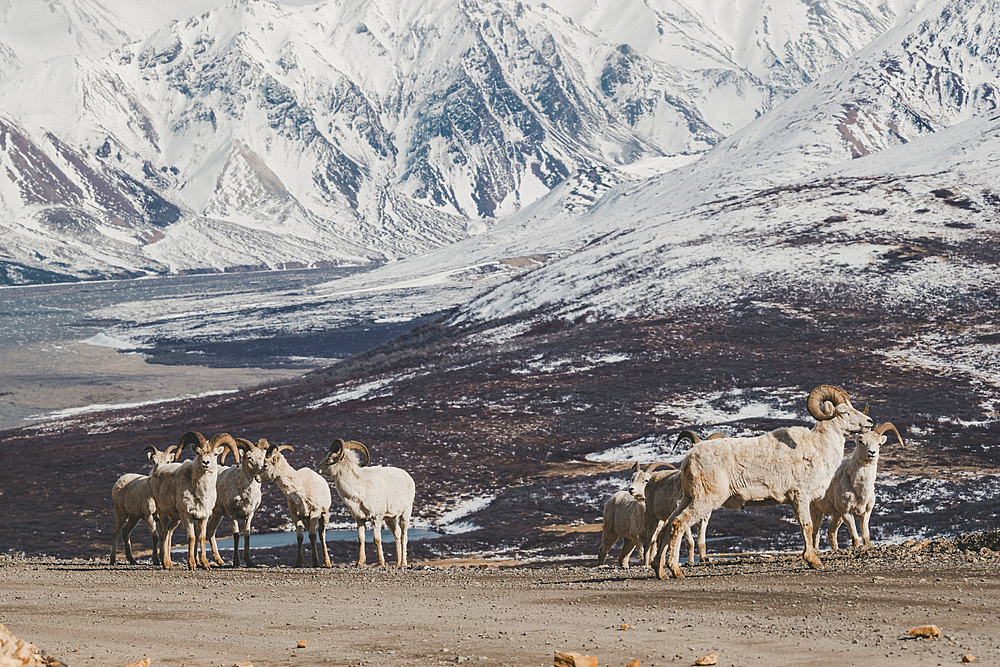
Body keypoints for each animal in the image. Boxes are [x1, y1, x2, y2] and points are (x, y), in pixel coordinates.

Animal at [148, 434, 240, 568]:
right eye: (198, 452)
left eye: (215, 454)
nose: (206, 462)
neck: (200, 493)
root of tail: (157, 471)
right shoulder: (186, 515)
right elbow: (191, 537)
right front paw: (191, 564)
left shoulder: (203, 516)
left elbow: (201, 537)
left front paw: (205, 564)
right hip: (163, 514)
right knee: (164, 534)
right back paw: (166, 563)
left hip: (174, 519)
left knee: (169, 535)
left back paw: (169, 562)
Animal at [206, 438, 266, 568]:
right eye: (249, 457)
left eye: (263, 456)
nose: (262, 467)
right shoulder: (231, 514)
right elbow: (236, 535)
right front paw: (236, 562)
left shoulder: (250, 514)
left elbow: (247, 535)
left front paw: (249, 562)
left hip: (217, 515)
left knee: (210, 530)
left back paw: (219, 560)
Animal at [260, 438, 334, 568]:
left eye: (265, 465)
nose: (257, 478)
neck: (300, 489)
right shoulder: (296, 516)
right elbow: (300, 537)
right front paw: (298, 563)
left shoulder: (315, 513)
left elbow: (312, 535)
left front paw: (315, 563)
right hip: (306, 520)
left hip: (324, 516)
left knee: (321, 535)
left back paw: (327, 562)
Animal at [318, 438, 416, 568]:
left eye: (329, 458)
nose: (317, 468)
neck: (359, 489)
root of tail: (408, 477)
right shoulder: (360, 519)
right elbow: (361, 539)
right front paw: (359, 563)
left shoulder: (376, 518)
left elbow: (376, 540)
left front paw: (381, 563)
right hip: (390, 519)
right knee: (397, 535)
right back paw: (397, 564)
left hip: (405, 514)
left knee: (404, 537)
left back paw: (403, 563)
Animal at [656, 386, 868, 580]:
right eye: (844, 412)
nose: (869, 422)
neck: (817, 449)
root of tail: (689, 458)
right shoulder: (800, 496)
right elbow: (807, 526)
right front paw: (814, 562)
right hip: (704, 501)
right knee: (678, 523)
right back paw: (676, 571)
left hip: (688, 498)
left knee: (668, 525)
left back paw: (660, 572)